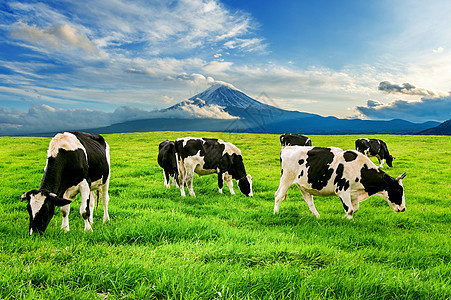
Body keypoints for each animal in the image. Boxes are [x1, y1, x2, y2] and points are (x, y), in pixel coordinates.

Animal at [274, 146, 408, 219]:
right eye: (398, 190)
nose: (403, 208)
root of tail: (287, 148)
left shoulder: (354, 194)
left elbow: (355, 209)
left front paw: (343, 218)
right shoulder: (342, 191)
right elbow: (350, 210)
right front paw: (348, 221)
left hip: (304, 184)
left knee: (309, 200)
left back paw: (318, 217)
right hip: (286, 178)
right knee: (279, 195)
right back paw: (276, 213)